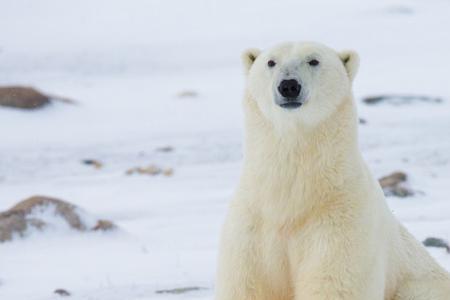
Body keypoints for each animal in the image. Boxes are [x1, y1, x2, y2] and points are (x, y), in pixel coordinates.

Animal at [215, 42, 450, 300]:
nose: (289, 86)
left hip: (419, 285)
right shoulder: (252, 226)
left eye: (314, 60)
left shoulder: (338, 221)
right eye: (270, 62)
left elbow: (334, 282)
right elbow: (249, 284)